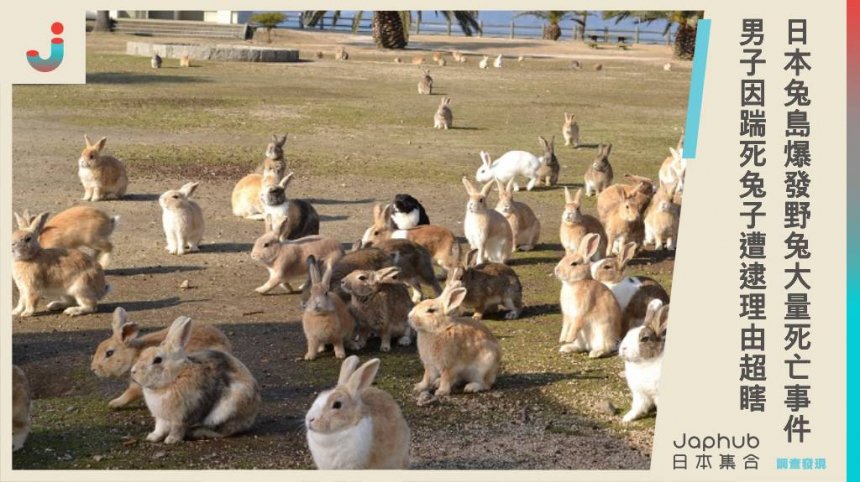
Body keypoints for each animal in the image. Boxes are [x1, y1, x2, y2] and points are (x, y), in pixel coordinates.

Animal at [131, 316, 258, 444]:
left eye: (157, 360)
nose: (133, 372)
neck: (175, 378)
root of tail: (253, 414)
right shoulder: (161, 417)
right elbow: (159, 428)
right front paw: (152, 437)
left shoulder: (182, 416)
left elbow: (177, 429)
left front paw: (171, 440)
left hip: (226, 410)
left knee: (223, 431)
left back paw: (196, 433)